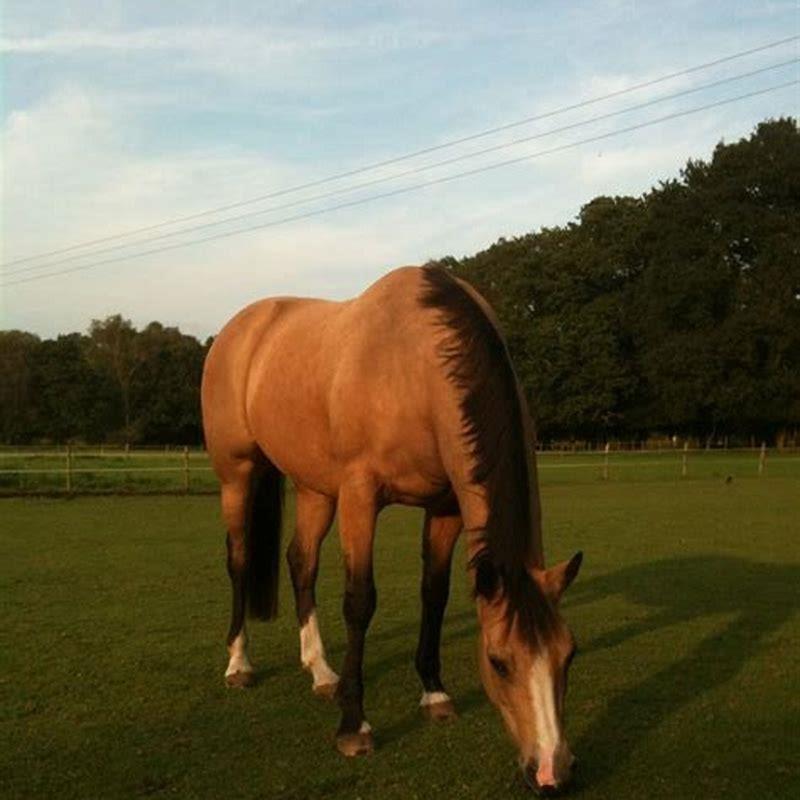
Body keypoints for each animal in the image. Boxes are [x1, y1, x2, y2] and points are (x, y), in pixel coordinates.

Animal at [201, 266, 583, 794]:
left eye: (569, 655)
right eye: (498, 661)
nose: (552, 771)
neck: (415, 366)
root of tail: (241, 327)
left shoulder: (445, 507)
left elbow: (434, 593)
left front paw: (434, 694)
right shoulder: (361, 496)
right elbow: (360, 602)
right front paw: (353, 728)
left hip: (314, 488)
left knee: (301, 562)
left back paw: (321, 672)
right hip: (237, 475)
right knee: (239, 561)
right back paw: (239, 664)